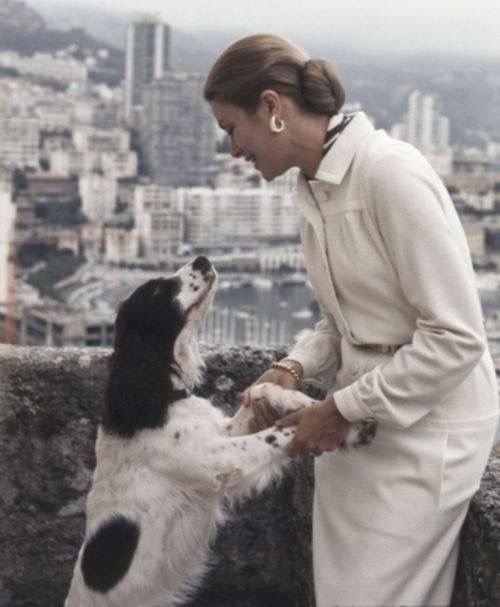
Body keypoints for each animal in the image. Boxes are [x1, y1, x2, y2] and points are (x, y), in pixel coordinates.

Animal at [66, 256, 318, 607]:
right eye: (157, 289)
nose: (202, 259)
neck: (164, 397)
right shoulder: (216, 461)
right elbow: (273, 435)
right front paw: (326, 422)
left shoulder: (219, 436)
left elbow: (257, 394)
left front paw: (292, 398)